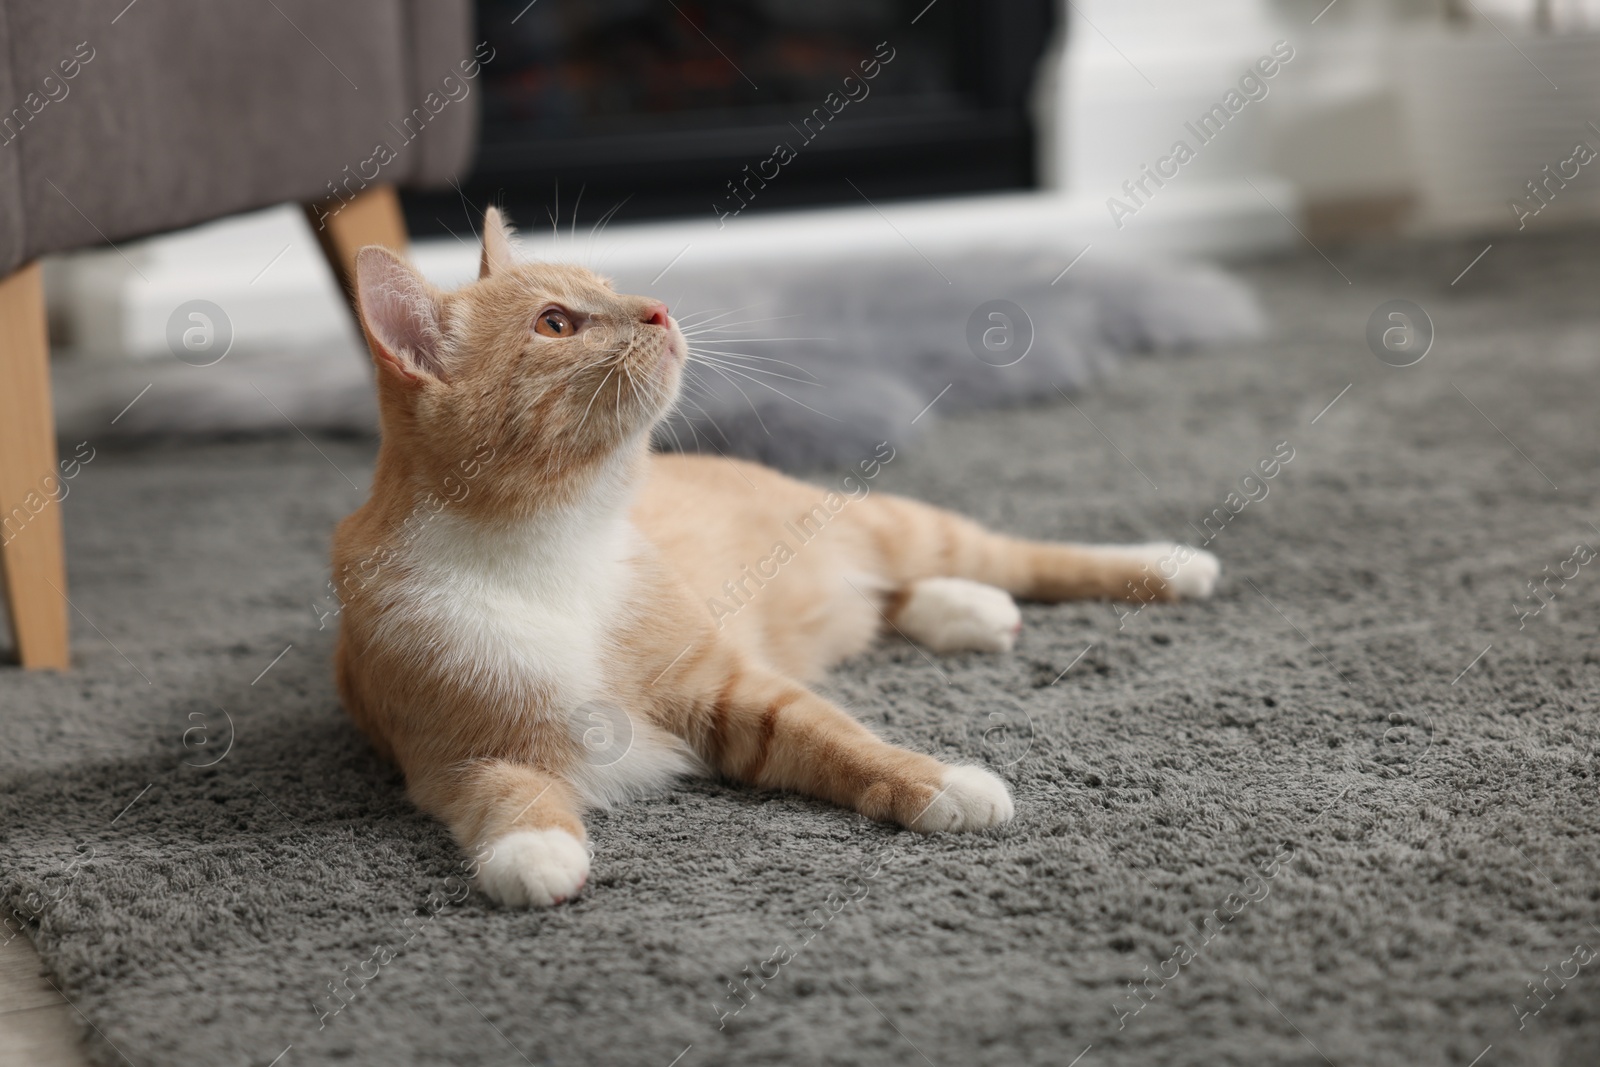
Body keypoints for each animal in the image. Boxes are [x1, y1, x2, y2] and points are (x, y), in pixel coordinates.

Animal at [331, 211, 1216, 908]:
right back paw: (962, 609)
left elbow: (842, 741)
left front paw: (939, 782)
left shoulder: (731, 689)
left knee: (1015, 557)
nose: (658, 308)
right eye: (555, 323)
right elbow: (504, 794)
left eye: (607, 284)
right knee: (887, 599)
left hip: (900, 526)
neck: (556, 544)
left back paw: (1165, 565)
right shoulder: (451, 758)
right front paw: (534, 848)